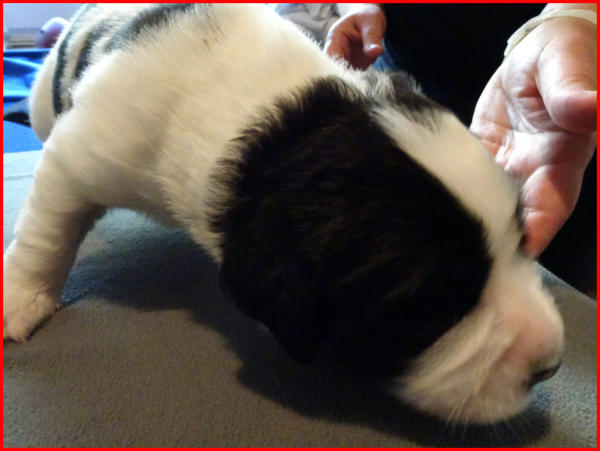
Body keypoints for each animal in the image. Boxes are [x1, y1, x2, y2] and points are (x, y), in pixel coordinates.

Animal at [3, 4, 563, 424]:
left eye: (521, 240)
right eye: (434, 307)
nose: (549, 367)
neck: (278, 125)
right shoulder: (90, 147)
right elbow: (49, 227)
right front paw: (21, 297)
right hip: (46, 105)